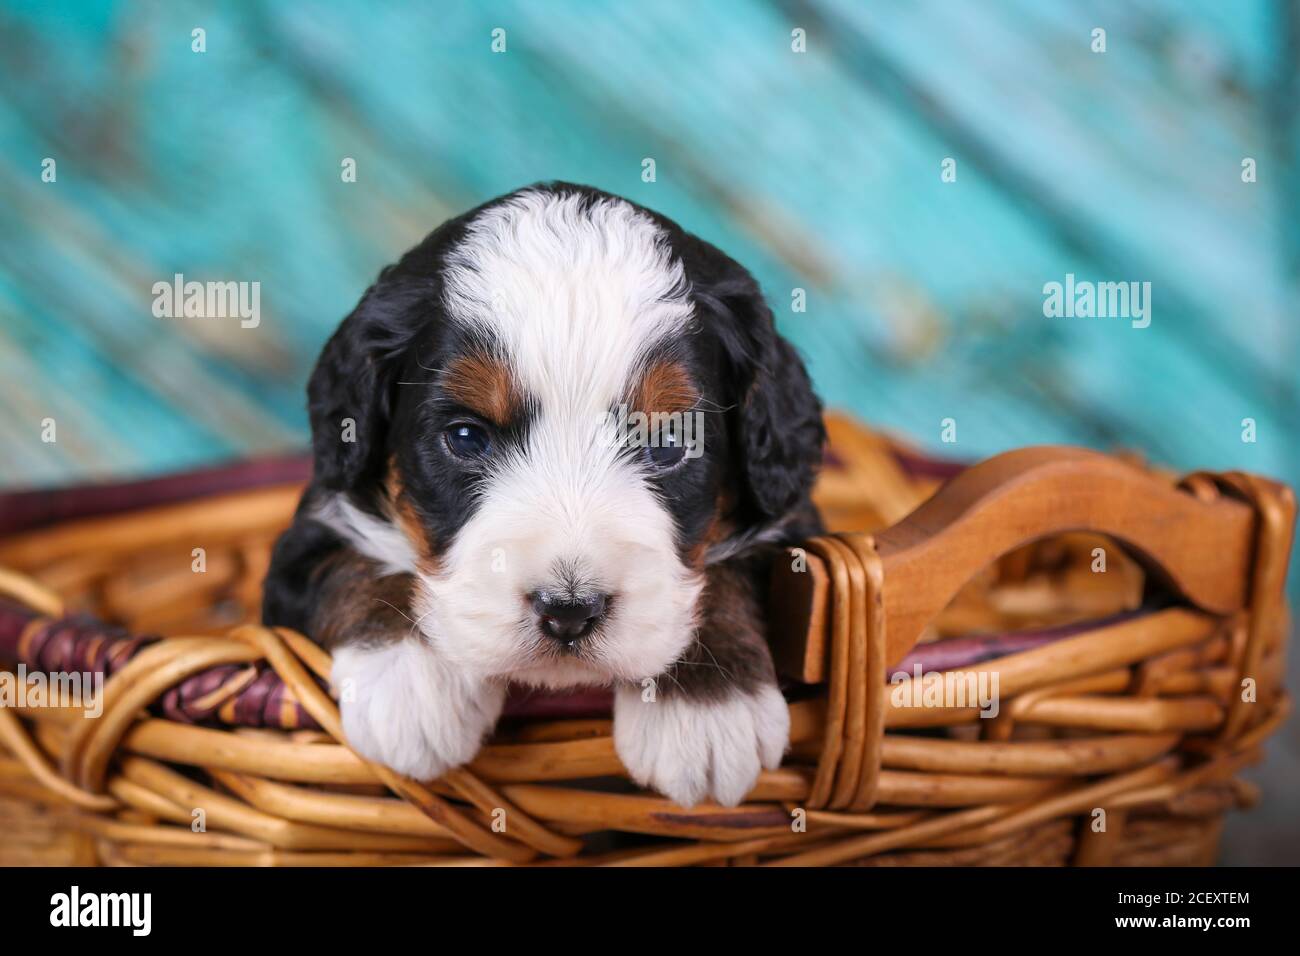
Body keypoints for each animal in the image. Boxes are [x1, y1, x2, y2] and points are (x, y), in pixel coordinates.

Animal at [262, 184, 821, 806]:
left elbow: (732, 573)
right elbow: (355, 562)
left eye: (670, 443)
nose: (569, 612)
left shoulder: (794, 521)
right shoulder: (314, 524)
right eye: (466, 437)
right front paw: (415, 678)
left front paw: (707, 707)